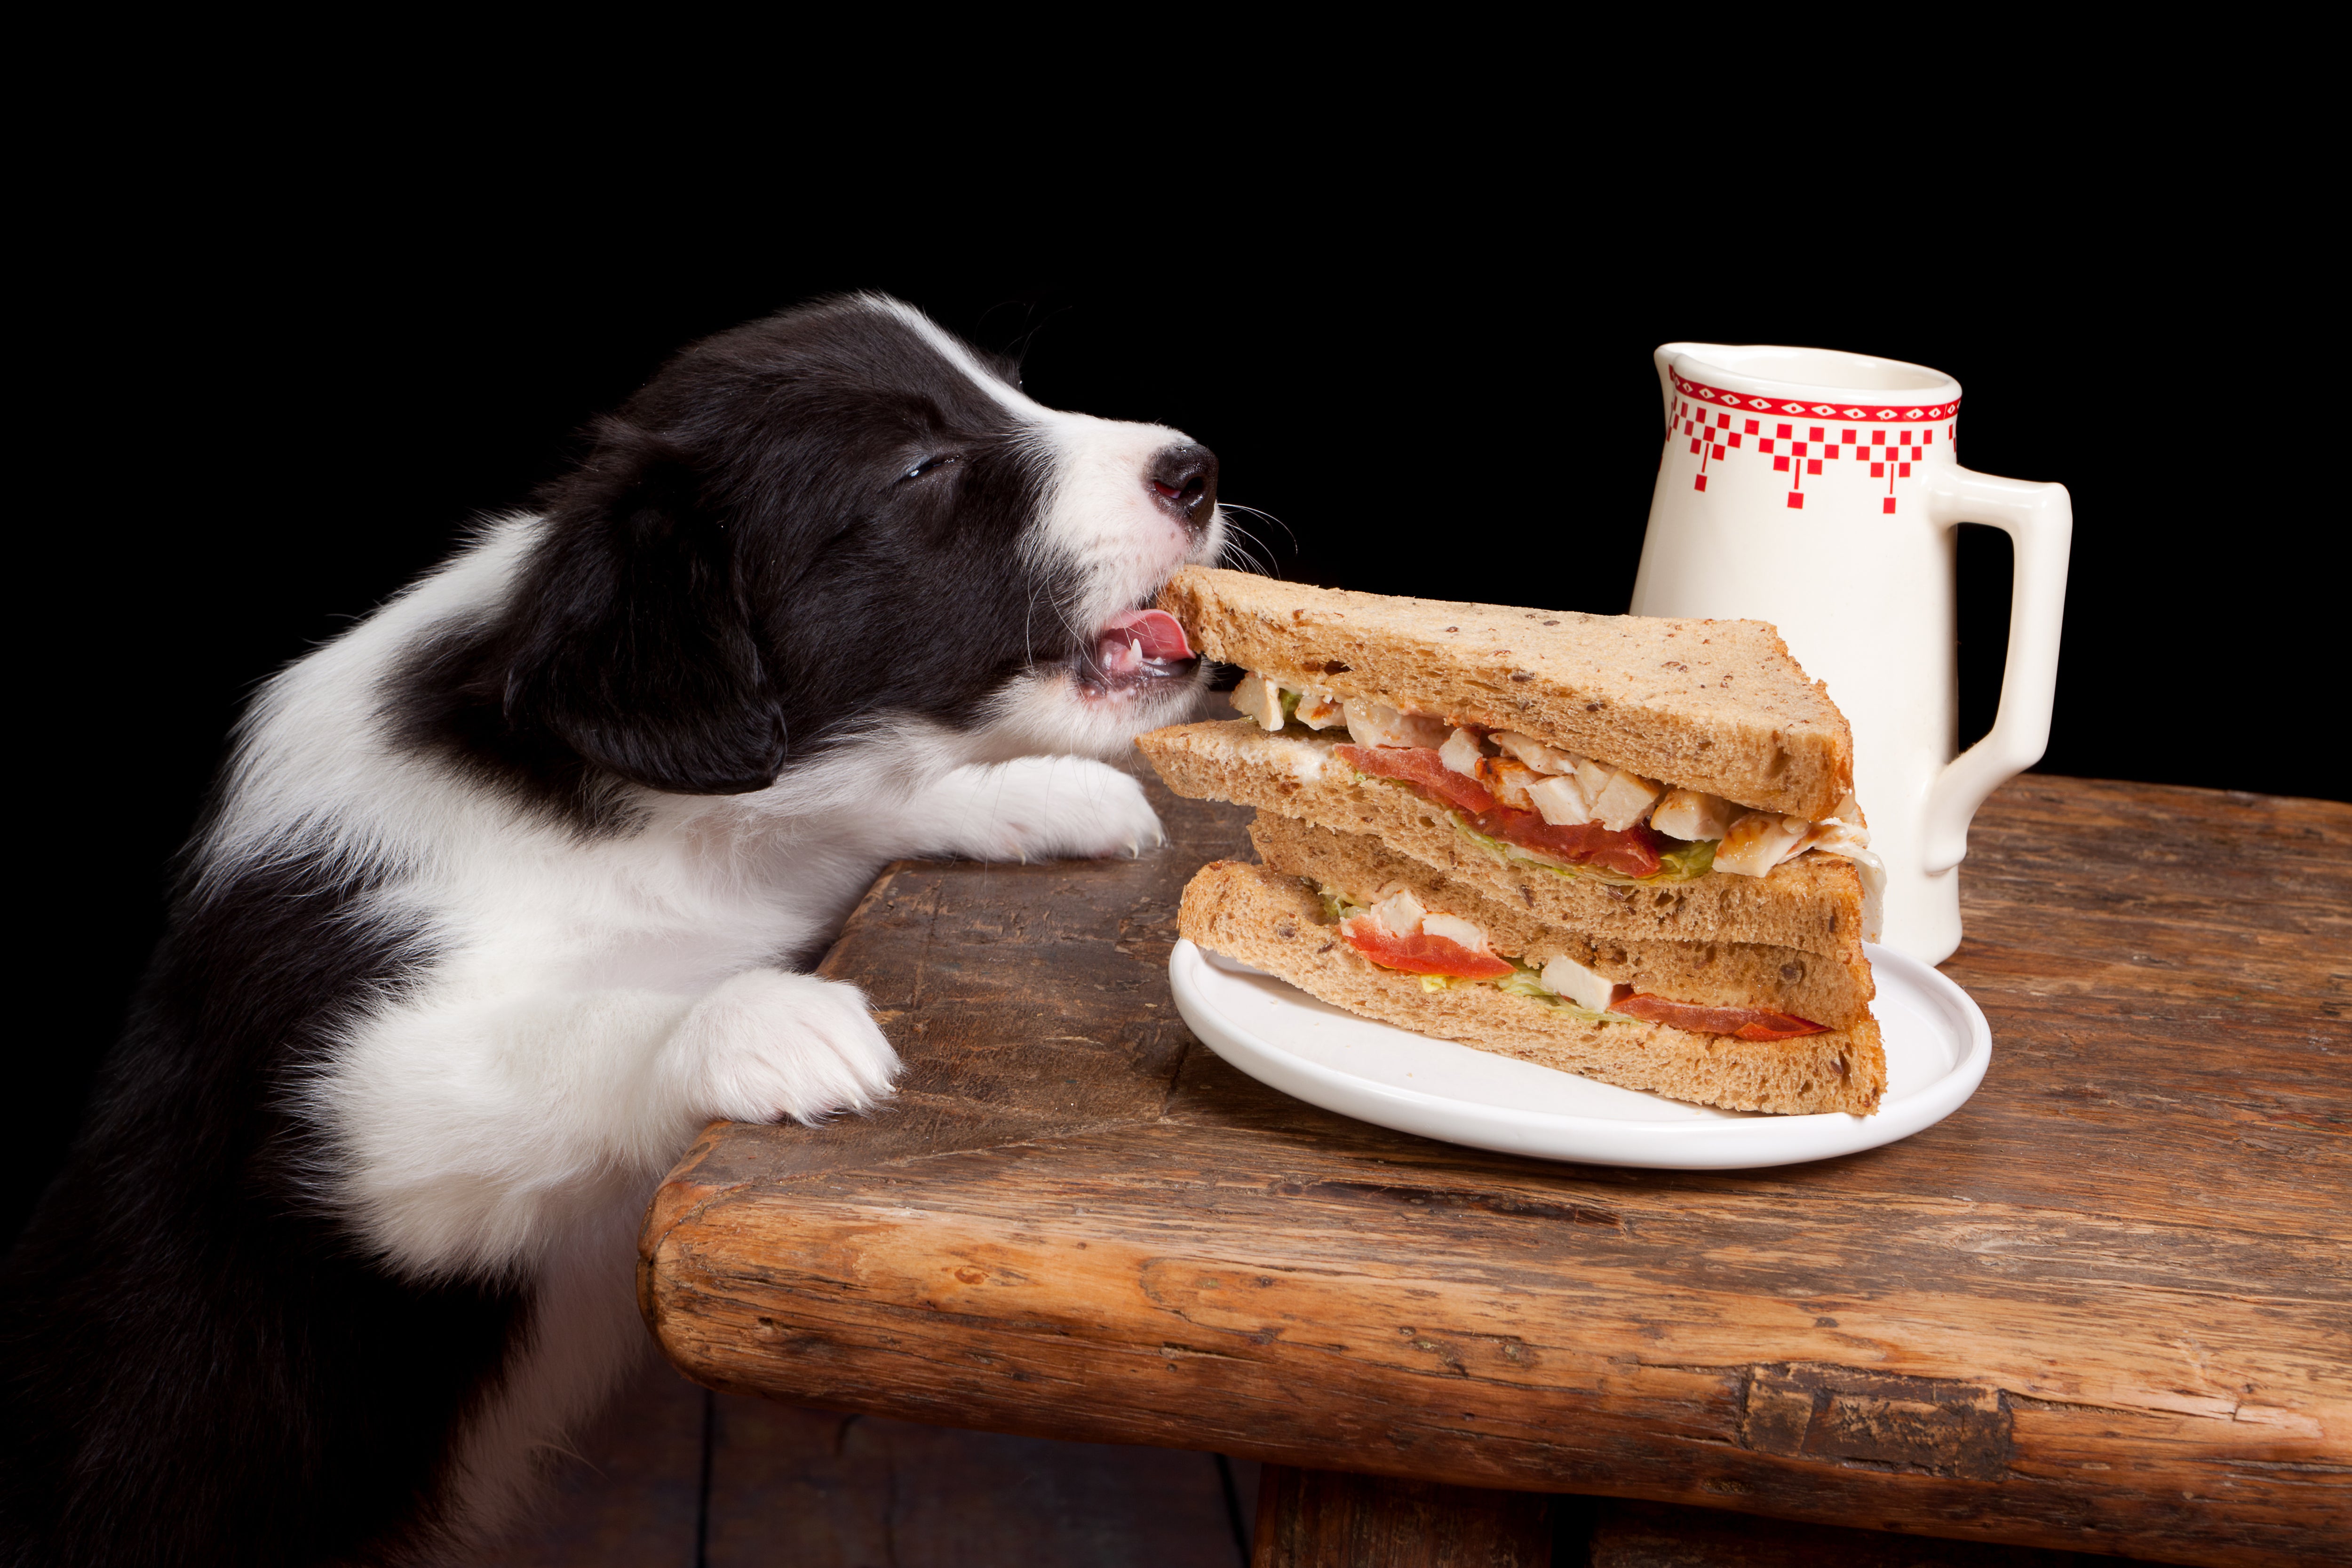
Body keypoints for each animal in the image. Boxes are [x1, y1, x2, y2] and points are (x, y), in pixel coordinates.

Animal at [0, 297, 1214, 1568]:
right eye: (921, 467)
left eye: (1011, 387)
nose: (1197, 471)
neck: (653, 826)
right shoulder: (346, 1102)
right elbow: (545, 1041)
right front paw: (755, 1021)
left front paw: (1036, 791)